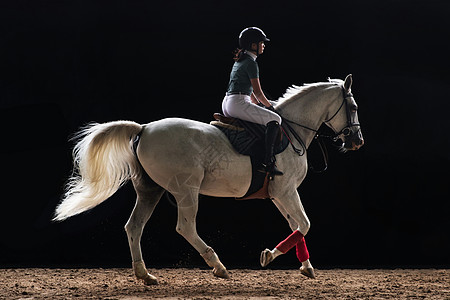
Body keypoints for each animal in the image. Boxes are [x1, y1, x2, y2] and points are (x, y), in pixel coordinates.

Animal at [53, 74, 362, 284]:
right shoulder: (285, 190)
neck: (292, 130)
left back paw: (145, 274)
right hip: (186, 190)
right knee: (185, 227)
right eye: (354, 107)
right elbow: (305, 224)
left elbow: (296, 224)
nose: (357, 141)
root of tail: (144, 128)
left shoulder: (280, 193)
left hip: (150, 190)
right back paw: (218, 265)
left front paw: (306, 266)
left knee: (134, 226)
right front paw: (270, 255)